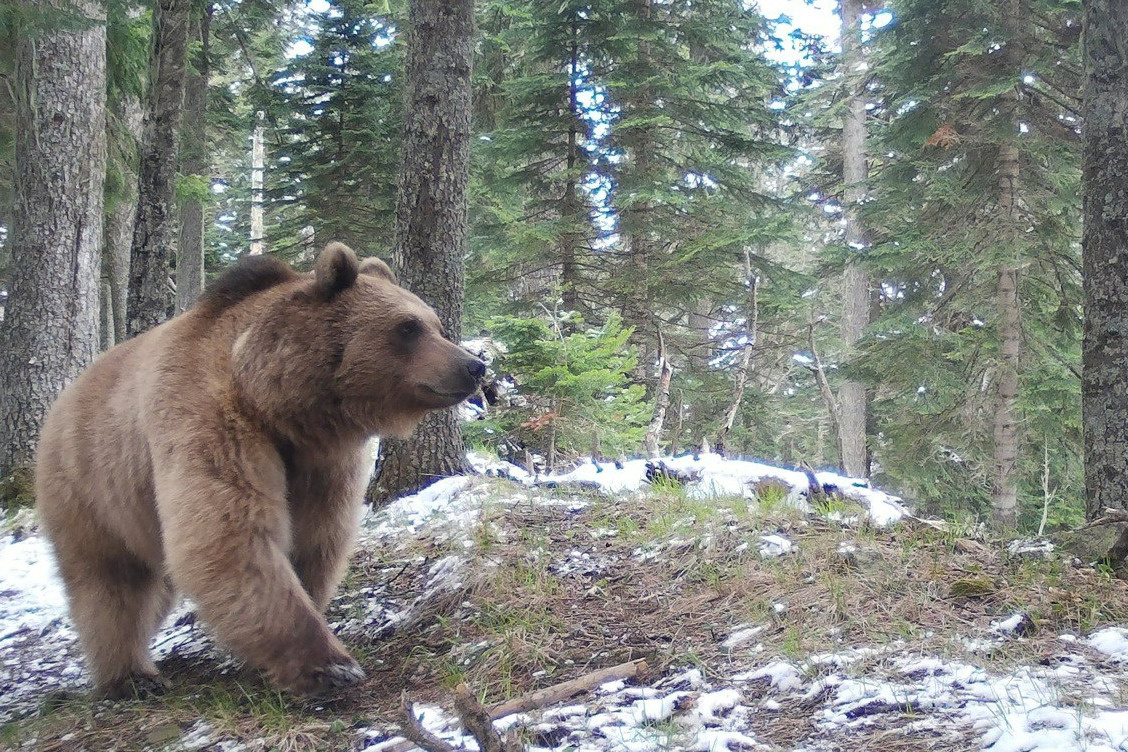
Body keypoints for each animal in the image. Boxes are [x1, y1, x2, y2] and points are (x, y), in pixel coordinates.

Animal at [34, 245, 485, 699]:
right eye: (408, 327)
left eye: (435, 324)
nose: (473, 365)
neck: (274, 401)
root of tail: (64, 398)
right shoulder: (213, 423)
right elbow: (234, 535)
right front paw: (330, 665)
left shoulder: (322, 460)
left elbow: (316, 536)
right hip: (88, 486)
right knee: (111, 584)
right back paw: (130, 675)